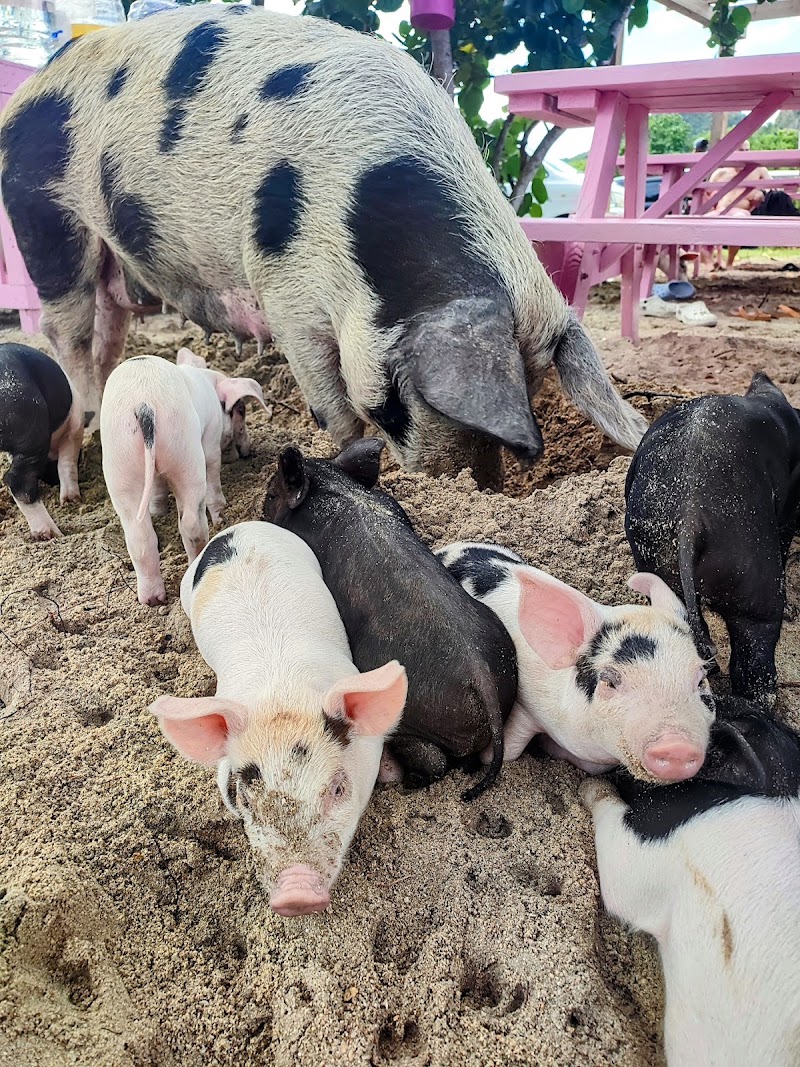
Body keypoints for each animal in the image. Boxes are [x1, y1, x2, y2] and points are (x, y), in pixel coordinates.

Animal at [0, 7, 647, 486]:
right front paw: (352, 455)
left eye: (536, 386)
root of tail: (25, 95)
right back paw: (82, 433)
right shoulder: (284, 289)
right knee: (65, 330)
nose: (470, 485)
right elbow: (329, 401)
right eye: (407, 400)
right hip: (45, 218)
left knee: (108, 329)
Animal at [0, 341, 83, 539]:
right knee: (17, 480)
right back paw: (51, 534)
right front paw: (71, 501)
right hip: (31, 427)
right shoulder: (74, 428)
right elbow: (67, 462)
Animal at [100, 348, 269, 606]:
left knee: (139, 536)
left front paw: (159, 512)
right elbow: (213, 470)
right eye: (241, 410)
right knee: (191, 521)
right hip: (185, 450)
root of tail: (144, 404)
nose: (247, 451)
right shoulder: (210, 438)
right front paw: (221, 514)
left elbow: (158, 486)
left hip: (119, 463)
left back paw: (153, 600)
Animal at [261, 438, 518, 800]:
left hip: (406, 710)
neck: (333, 487)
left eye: (272, 494)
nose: (260, 509)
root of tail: (481, 675)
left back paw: (410, 784)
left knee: (434, 760)